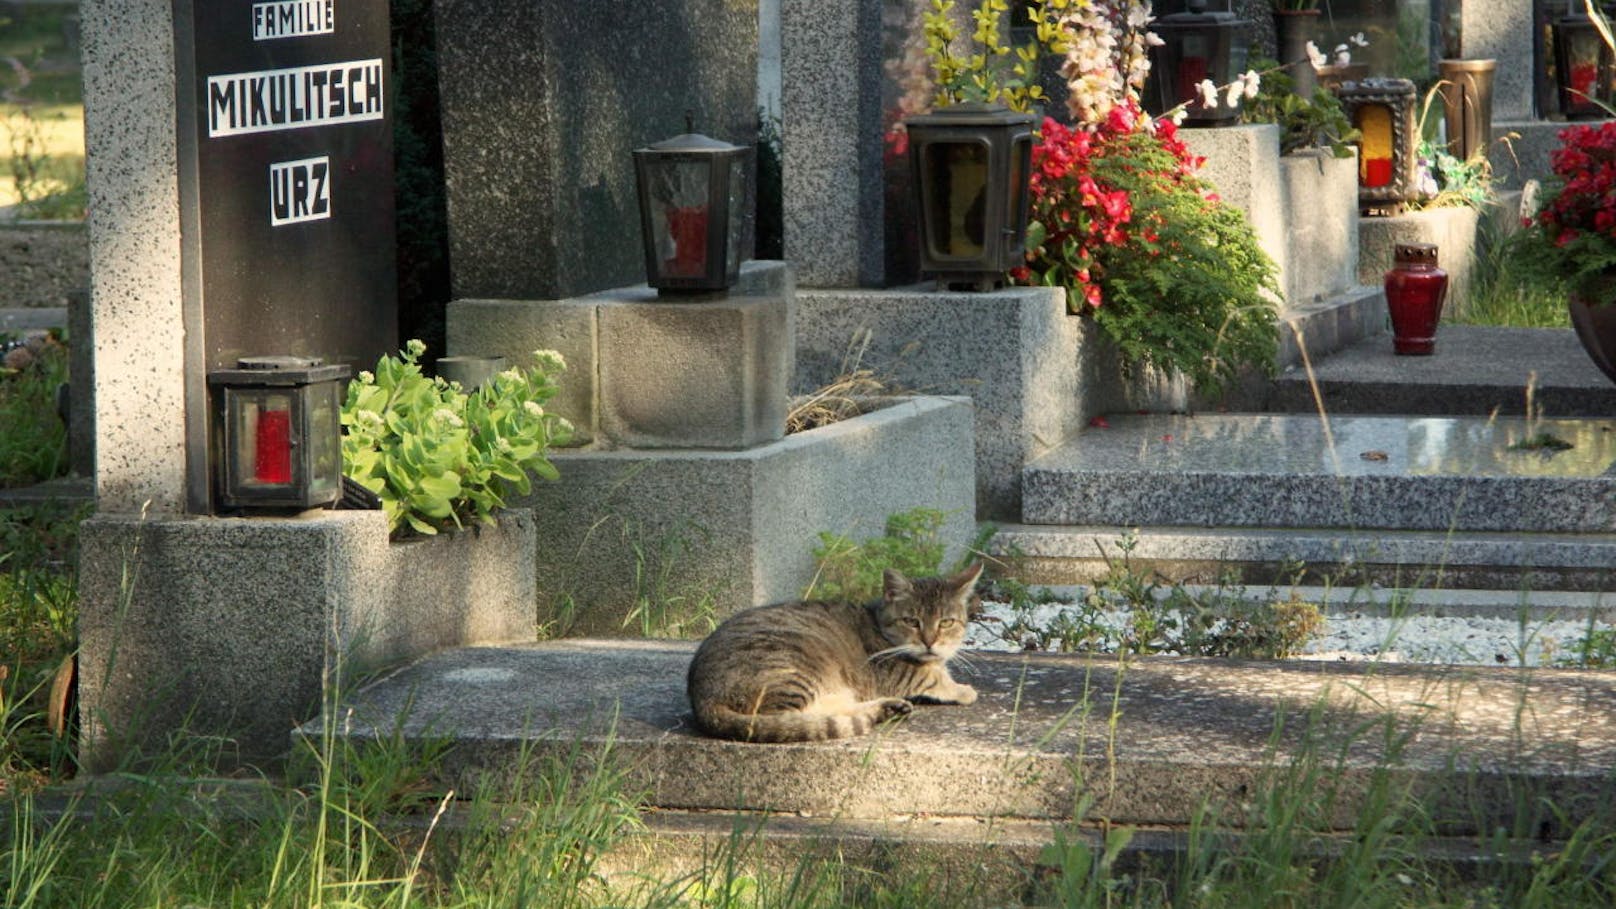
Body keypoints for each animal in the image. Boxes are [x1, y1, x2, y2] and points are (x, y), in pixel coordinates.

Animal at [685, 562, 982, 740]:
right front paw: (961, 689)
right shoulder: (893, 671)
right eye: (912, 621)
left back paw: (888, 708)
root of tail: (702, 698)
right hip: (792, 669)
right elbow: (932, 677)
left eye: (946, 622)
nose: (929, 641)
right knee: (793, 719)